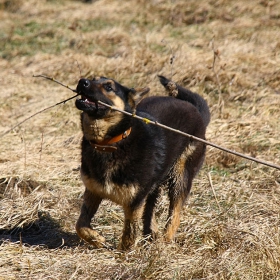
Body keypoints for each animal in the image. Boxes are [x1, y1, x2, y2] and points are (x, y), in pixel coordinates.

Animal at [74, 75, 210, 250]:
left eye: (109, 87)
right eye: (92, 78)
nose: (82, 81)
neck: (109, 144)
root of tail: (195, 110)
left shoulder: (134, 202)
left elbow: (130, 232)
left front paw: (124, 252)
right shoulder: (93, 192)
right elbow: (80, 224)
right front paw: (96, 239)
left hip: (180, 176)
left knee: (175, 213)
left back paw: (165, 240)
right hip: (156, 183)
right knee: (150, 210)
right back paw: (152, 234)